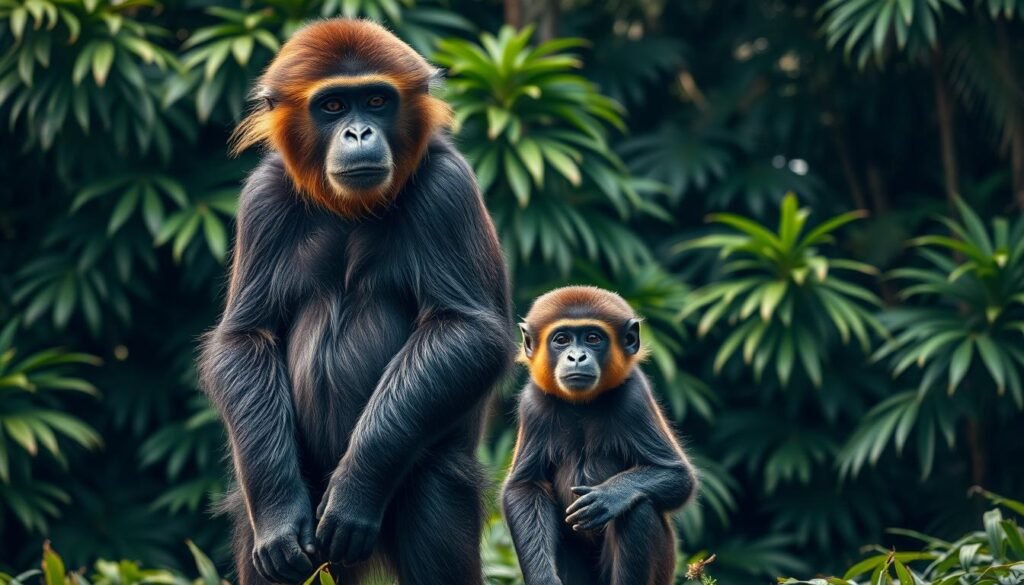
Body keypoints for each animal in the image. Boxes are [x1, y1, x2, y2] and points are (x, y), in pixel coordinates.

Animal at [198, 19, 514, 585]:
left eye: (375, 100)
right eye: (333, 107)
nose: (359, 133)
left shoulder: (448, 188)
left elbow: (467, 328)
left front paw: (354, 492)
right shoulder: (263, 198)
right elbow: (244, 338)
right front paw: (278, 515)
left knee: (433, 493)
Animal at [502, 286, 697, 585]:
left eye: (593, 338)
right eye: (562, 340)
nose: (576, 357)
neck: (583, 405)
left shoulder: (634, 398)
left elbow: (679, 476)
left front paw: (610, 496)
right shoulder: (532, 404)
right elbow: (524, 487)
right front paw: (543, 578)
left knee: (638, 508)